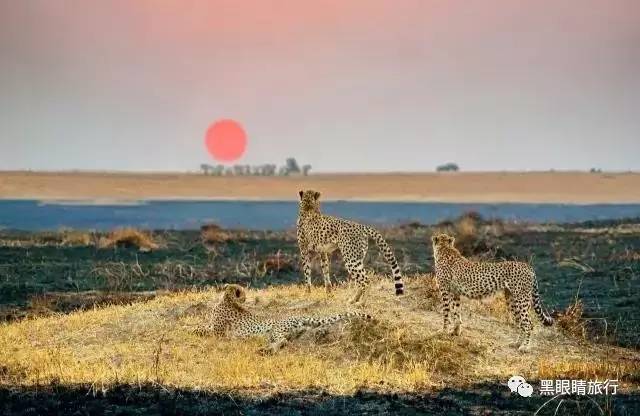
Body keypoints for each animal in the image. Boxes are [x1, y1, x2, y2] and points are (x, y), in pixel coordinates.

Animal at [194, 282, 370, 352]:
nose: (245, 298)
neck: (226, 299)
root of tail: (297, 316)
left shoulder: (218, 333)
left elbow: (205, 330)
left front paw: (194, 330)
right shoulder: (214, 327)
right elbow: (204, 327)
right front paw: (194, 329)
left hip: (275, 331)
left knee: (282, 340)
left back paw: (265, 350)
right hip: (289, 330)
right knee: (290, 338)